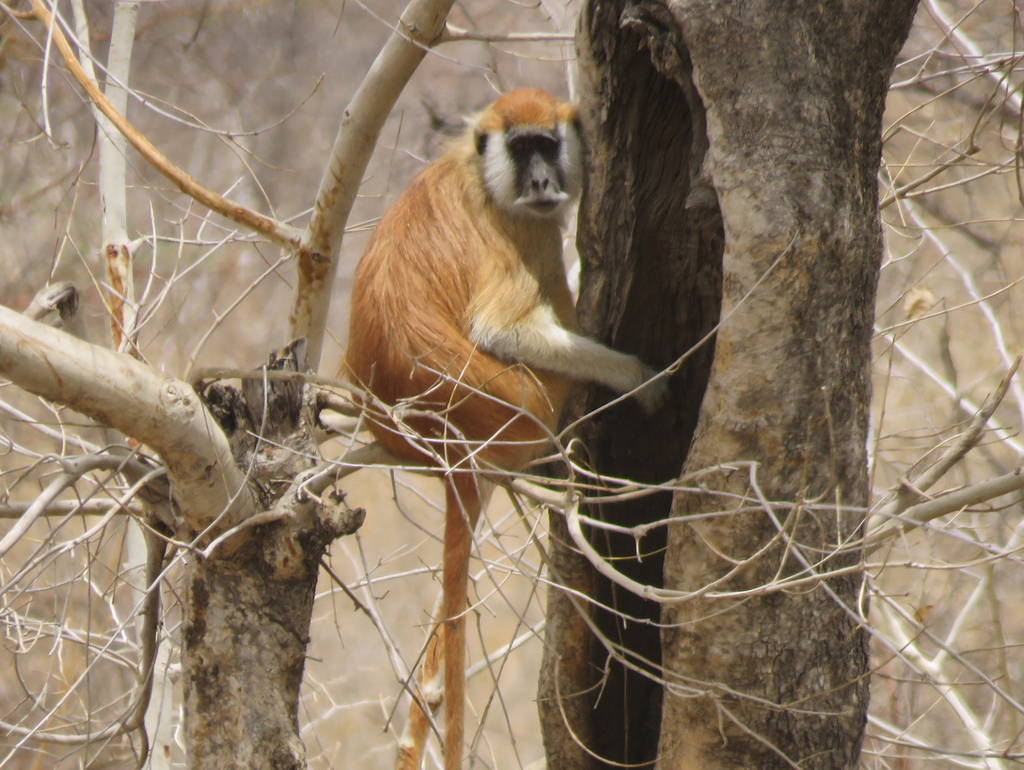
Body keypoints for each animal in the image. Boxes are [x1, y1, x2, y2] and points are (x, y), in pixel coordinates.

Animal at [344, 88, 667, 770]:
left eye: (547, 144)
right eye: (523, 149)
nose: (542, 179)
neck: (481, 174)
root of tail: (451, 445)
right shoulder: (526, 229)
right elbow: (504, 331)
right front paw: (638, 376)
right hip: (526, 404)